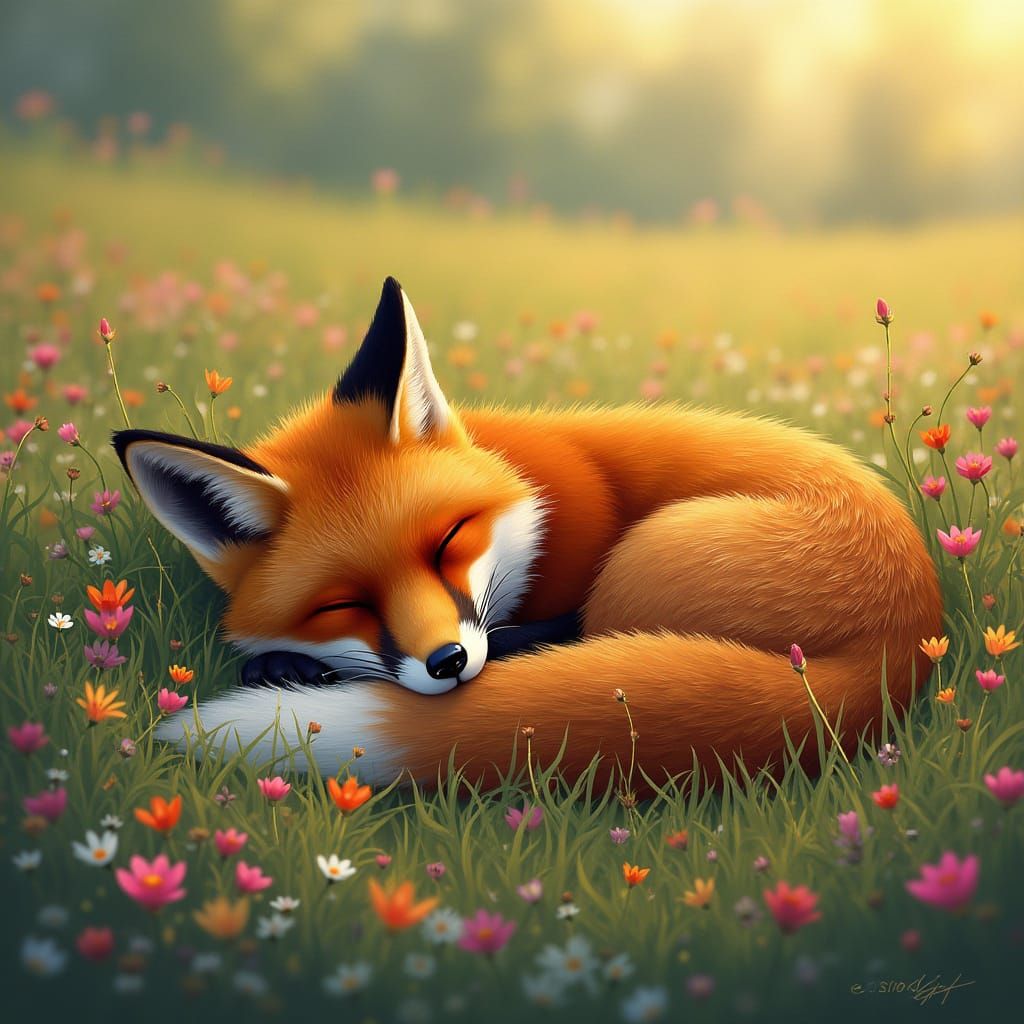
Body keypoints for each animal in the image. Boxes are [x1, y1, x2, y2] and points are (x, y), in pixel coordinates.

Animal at [113, 277, 942, 790]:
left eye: (447, 541)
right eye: (341, 604)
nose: (447, 663)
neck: (531, 493)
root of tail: (910, 634)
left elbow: (540, 633)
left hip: (637, 566)